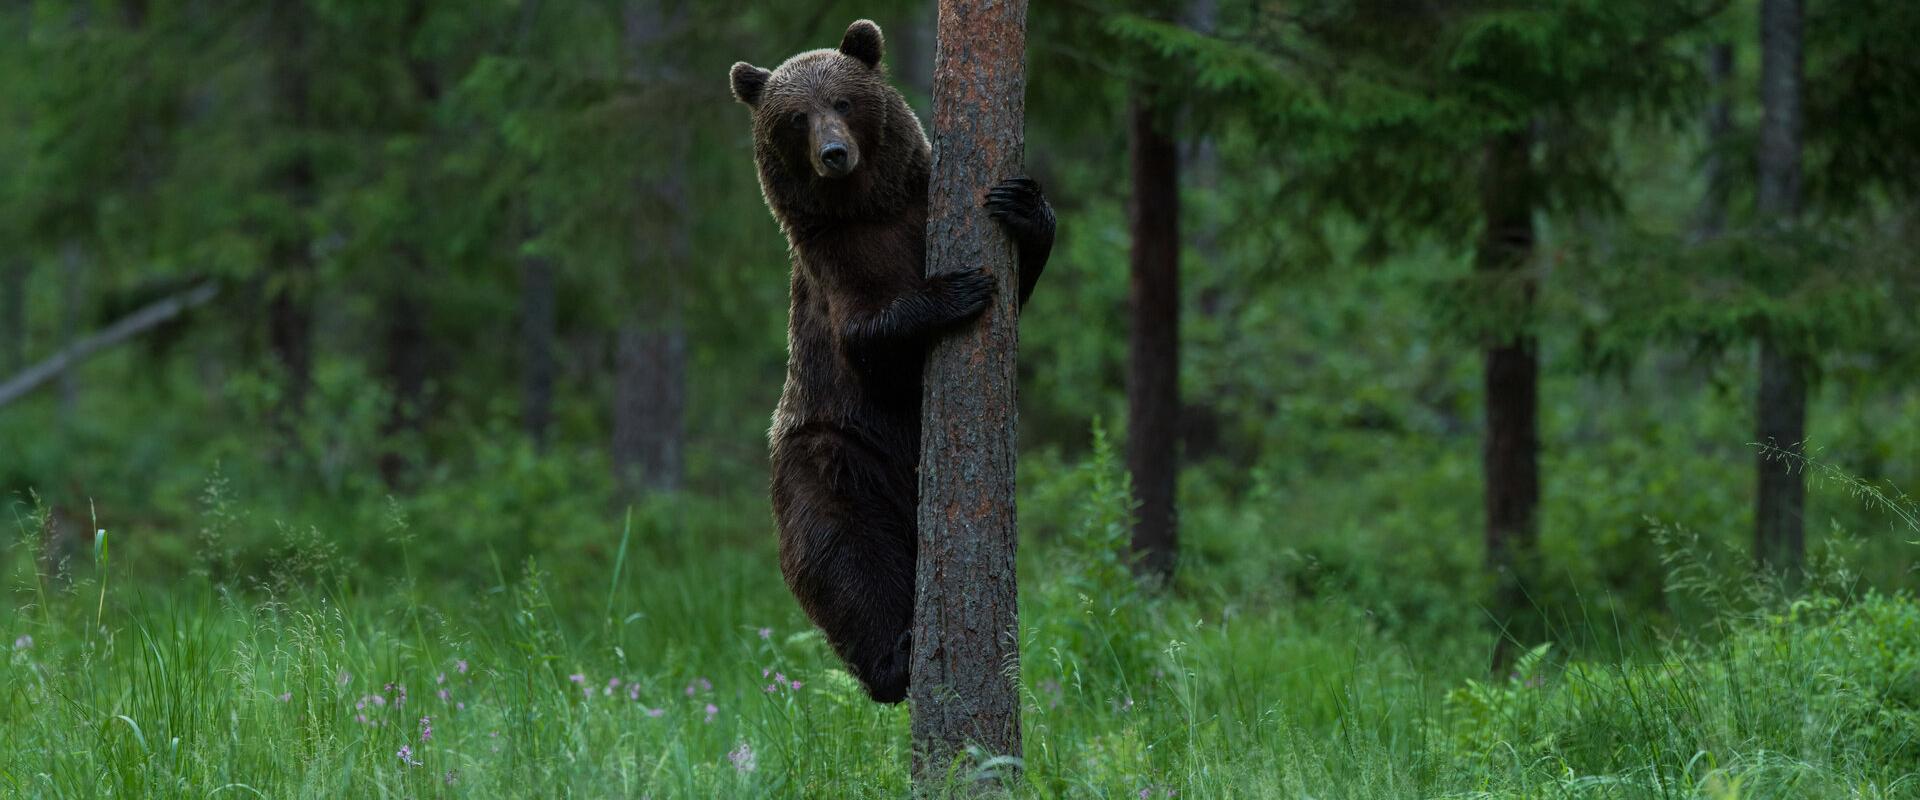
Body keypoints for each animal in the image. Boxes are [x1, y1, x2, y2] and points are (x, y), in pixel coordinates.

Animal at [729, 18, 1059, 702]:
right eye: (795, 117)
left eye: (843, 101)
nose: (834, 153)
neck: (867, 209)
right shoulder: (834, 269)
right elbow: (866, 340)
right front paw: (953, 291)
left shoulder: (918, 210)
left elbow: (1018, 281)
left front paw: (1024, 205)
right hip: (834, 453)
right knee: (841, 555)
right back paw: (894, 662)